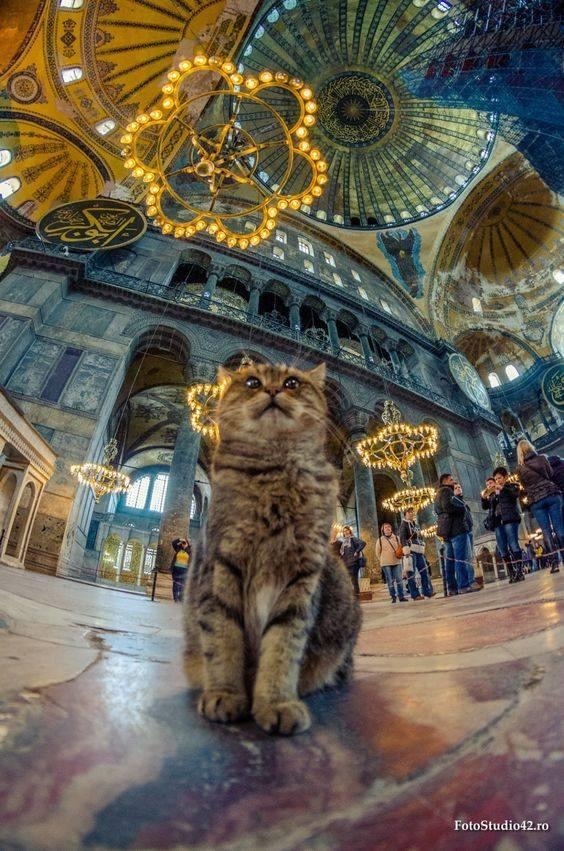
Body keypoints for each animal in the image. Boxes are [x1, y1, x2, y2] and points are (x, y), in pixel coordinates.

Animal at [185, 362, 362, 736]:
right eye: (252, 381)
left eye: (292, 382)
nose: (273, 390)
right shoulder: (220, 569)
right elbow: (223, 640)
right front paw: (225, 694)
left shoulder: (301, 581)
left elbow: (283, 647)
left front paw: (276, 703)